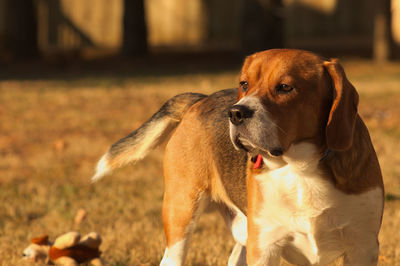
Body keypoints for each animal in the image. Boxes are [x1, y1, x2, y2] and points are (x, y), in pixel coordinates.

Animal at [93, 48, 384, 264]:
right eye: (244, 84)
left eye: (285, 87)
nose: (235, 113)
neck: (301, 168)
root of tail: (201, 99)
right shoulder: (265, 245)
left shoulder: (363, 246)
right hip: (181, 211)